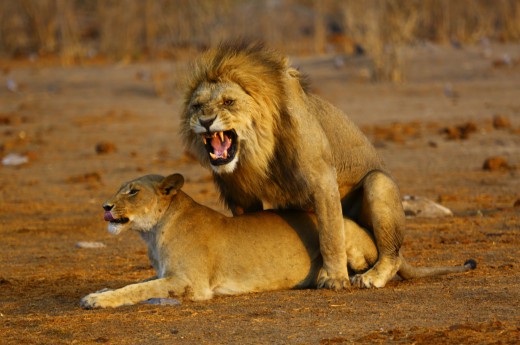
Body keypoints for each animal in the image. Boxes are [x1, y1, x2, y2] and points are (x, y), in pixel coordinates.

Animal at [80, 173, 476, 308]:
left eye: (132, 191)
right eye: (121, 189)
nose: (105, 206)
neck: (153, 232)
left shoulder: (189, 281)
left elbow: (138, 289)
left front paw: (97, 301)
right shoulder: (167, 273)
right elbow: (135, 281)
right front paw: (97, 292)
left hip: (347, 234)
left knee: (371, 266)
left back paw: (341, 277)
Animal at [182, 39, 402, 288]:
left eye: (228, 102)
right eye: (197, 106)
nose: (206, 121)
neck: (256, 151)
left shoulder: (322, 177)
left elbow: (331, 234)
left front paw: (334, 277)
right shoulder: (240, 194)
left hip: (378, 182)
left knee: (393, 254)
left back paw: (371, 277)